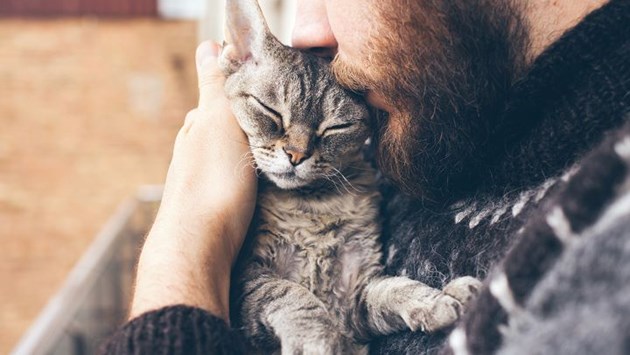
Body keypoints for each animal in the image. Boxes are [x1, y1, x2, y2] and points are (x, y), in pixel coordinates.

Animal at [220, 0, 482, 354]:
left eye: (336, 127)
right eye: (270, 110)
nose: (296, 155)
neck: (313, 206)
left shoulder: (355, 292)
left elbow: (394, 289)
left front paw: (436, 299)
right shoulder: (247, 279)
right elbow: (292, 294)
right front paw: (316, 339)